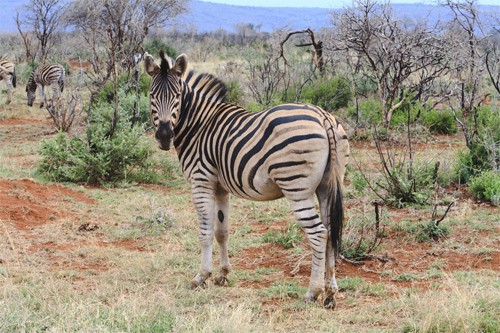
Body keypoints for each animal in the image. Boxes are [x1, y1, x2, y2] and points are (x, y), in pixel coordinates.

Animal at [143, 50, 350, 308]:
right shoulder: (220, 187)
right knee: (331, 231)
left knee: (319, 233)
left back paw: (313, 292)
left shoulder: (201, 181)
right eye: (152, 94)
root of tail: (323, 117)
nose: (164, 136)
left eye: (178, 95)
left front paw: (201, 277)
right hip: (327, 186)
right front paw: (223, 275)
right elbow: (222, 231)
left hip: (296, 186)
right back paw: (330, 293)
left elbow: (205, 232)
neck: (199, 125)